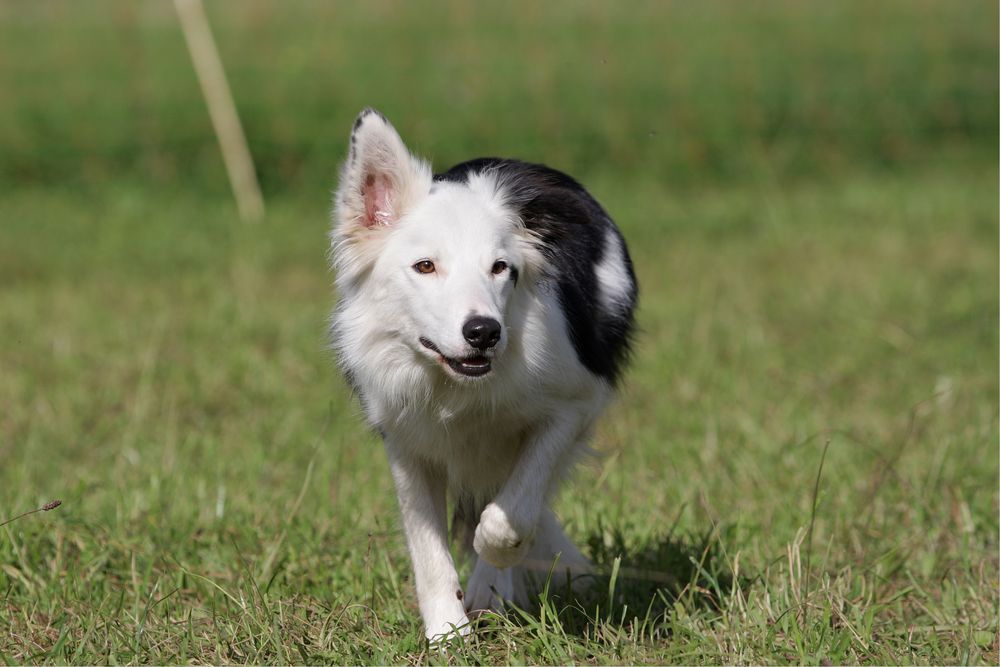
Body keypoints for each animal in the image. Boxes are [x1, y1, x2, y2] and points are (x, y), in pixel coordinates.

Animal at [332, 109, 636, 640]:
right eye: (425, 266)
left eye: (501, 268)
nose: (484, 332)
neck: (457, 388)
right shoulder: (406, 439)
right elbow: (428, 547)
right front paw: (446, 634)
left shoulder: (574, 401)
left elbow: (510, 513)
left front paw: (492, 576)